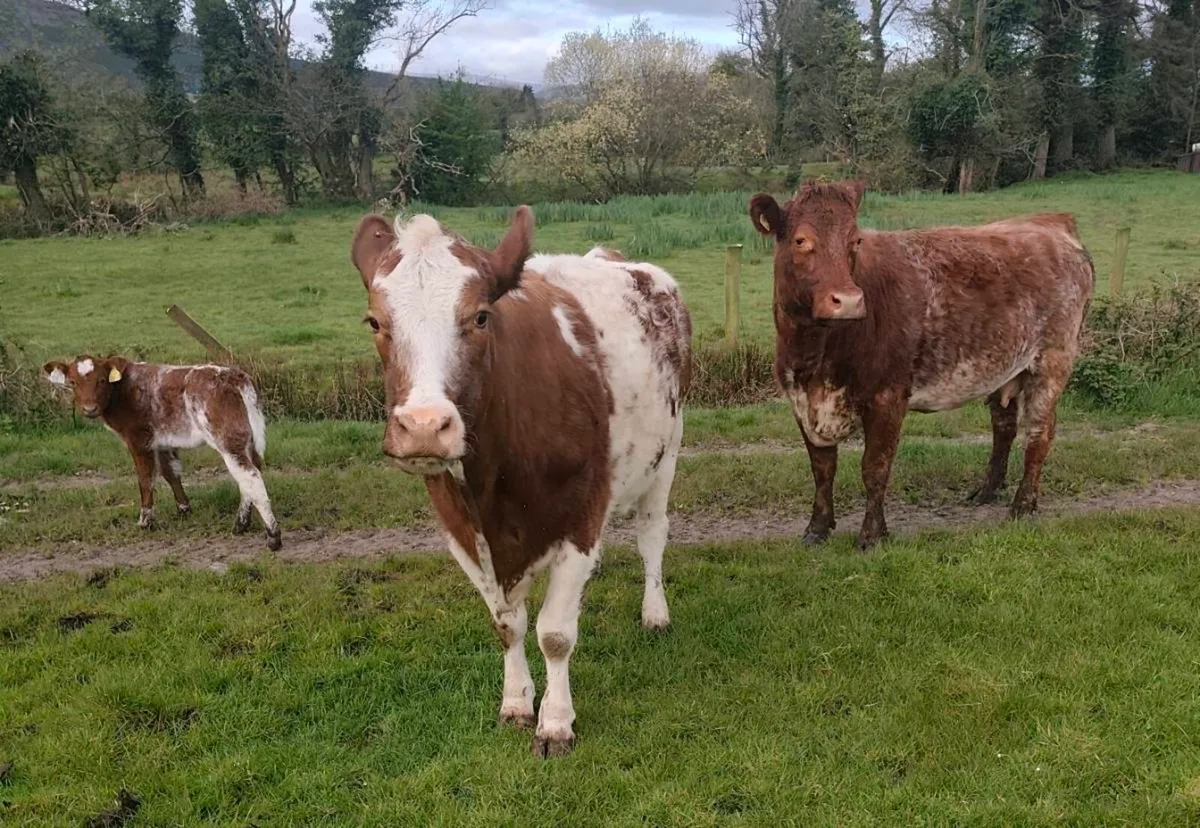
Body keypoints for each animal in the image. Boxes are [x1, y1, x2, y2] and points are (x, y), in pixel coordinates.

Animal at [42, 356, 282, 550]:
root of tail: (234, 376)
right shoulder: (164, 441)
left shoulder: (139, 439)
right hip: (249, 437)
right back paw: (240, 525)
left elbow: (146, 478)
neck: (122, 391)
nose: (89, 408)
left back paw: (273, 536)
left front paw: (146, 521)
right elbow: (171, 473)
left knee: (250, 477)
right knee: (252, 471)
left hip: (228, 438)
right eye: (73, 382)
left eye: (101, 380)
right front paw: (184, 508)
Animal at [349, 207, 691, 757]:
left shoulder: (580, 516)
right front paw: (515, 703)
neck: (496, 483)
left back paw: (655, 612)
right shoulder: (461, 529)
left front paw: (555, 722)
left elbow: (555, 633)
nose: (424, 426)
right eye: (375, 321)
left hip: (668, 451)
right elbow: (507, 624)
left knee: (652, 535)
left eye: (481, 317)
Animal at [749, 181, 1094, 549]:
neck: (814, 357)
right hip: (1004, 367)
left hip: (1052, 361)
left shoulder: (888, 397)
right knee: (1004, 427)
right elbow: (822, 469)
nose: (849, 301)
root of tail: (1051, 223)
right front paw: (817, 528)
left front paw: (872, 535)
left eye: (855, 241)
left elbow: (875, 468)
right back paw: (987, 490)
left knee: (1039, 433)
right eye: (801, 240)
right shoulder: (801, 401)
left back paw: (1023, 505)